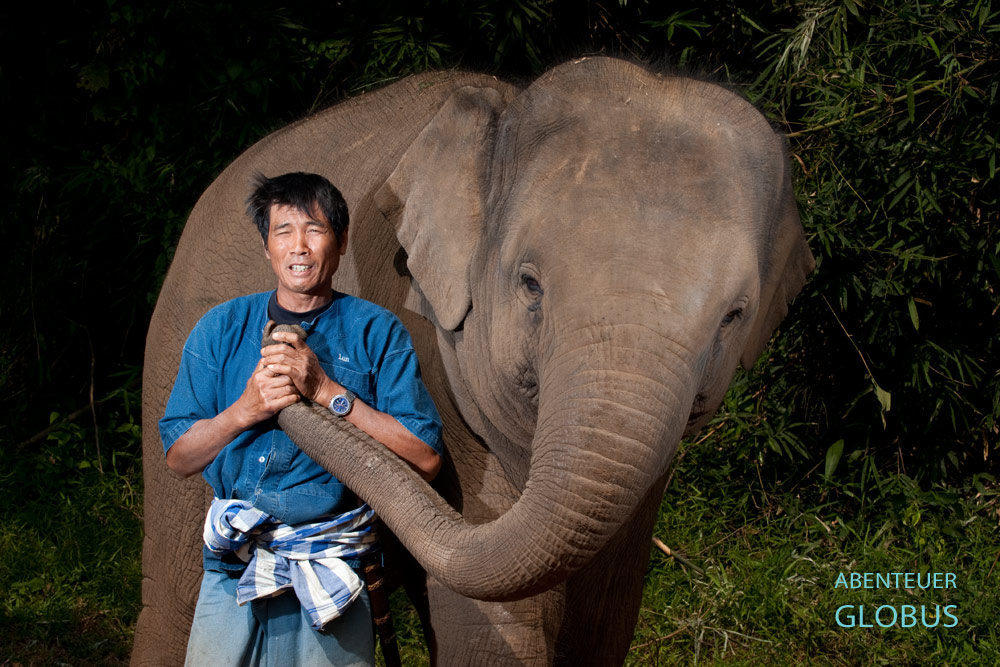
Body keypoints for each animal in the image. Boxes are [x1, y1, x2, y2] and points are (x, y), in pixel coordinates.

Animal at [135, 56, 813, 666]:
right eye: (530, 284)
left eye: (733, 315)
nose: (278, 344)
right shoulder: (427, 338)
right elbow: (491, 623)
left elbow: (604, 617)